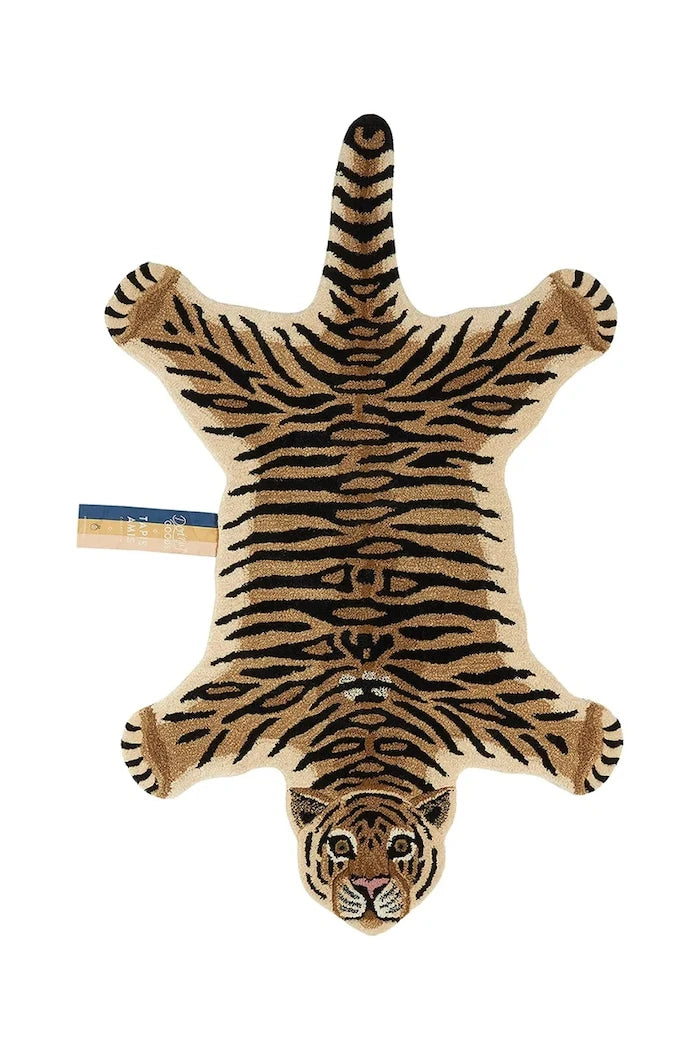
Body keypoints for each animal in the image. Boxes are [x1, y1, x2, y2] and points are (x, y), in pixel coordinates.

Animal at [106, 113, 623, 934]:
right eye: (342, 848)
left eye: (402, 850)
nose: (375, 889)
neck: (369, 721)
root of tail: (362, 344)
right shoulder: (254, 697)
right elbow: (178, 739)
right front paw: (151, 746)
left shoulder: (481, 697)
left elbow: (561, 742)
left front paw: (588, 741)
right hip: (254, 380)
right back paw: (149, 301)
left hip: (468, 377)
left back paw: (573, 308)